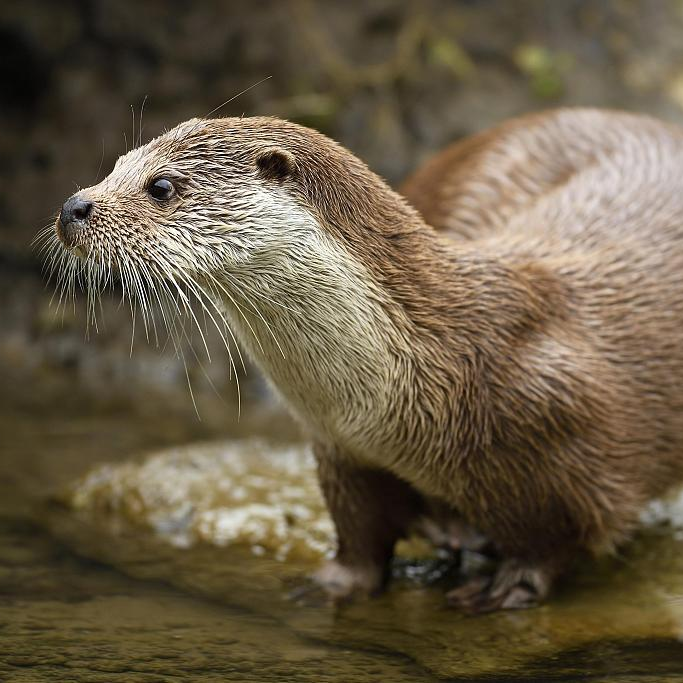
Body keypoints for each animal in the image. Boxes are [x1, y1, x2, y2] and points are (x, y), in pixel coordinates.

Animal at [49, 109, 683, 612]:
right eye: (117, 164)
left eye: (161, 185)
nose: (74, 205)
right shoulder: (340, 450)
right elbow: (358, 531)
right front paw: (336, 583)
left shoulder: (568, 441)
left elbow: (556, 540)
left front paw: (507, 587)